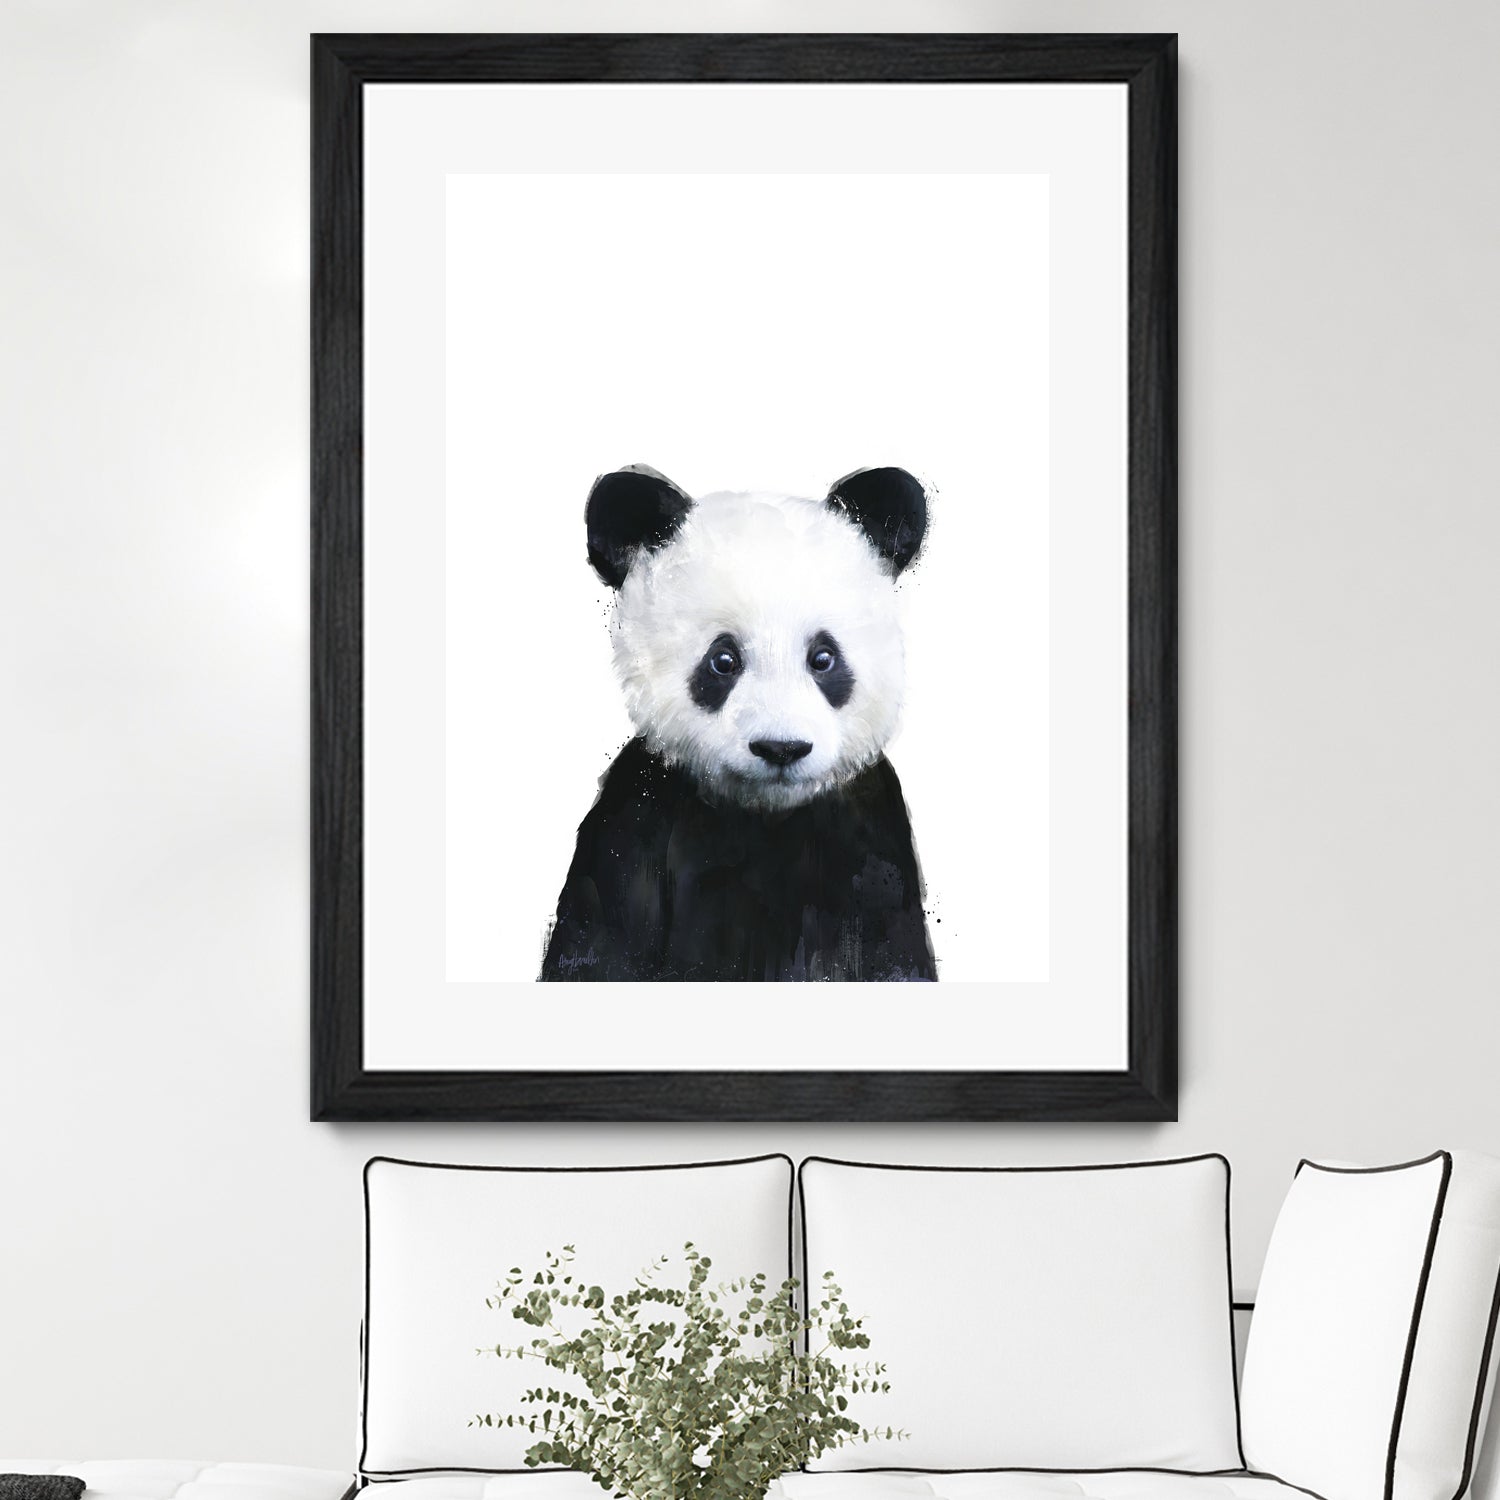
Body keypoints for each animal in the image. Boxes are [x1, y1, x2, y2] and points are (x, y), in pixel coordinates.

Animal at [540, 463, 937, 983]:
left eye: (823, 658)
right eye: (723, 660)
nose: (781, 748)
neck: (765, 814)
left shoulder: (870, 836)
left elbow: (893, 953)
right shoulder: (636, 820)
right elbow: (599, 944)